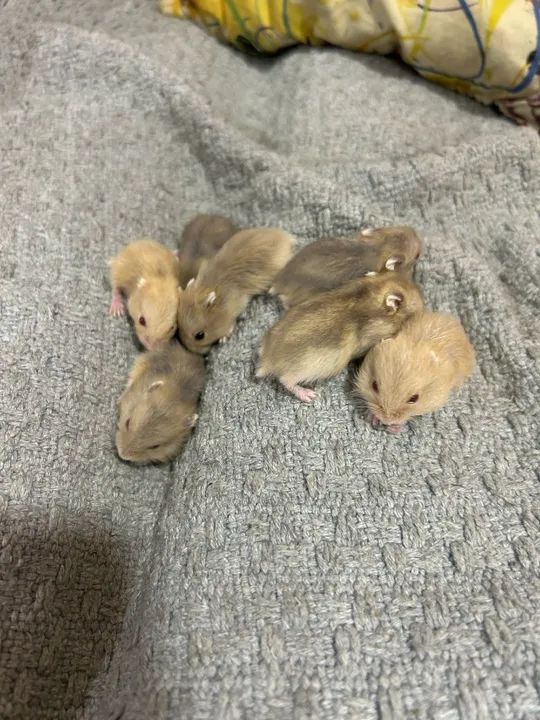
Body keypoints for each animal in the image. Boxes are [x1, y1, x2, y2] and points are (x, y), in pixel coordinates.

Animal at [256, 272, 424, 402]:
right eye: (415, 299)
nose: (424, 305)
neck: (369, 295)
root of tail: (267, 361)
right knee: (285, 380)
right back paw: (309, 395)